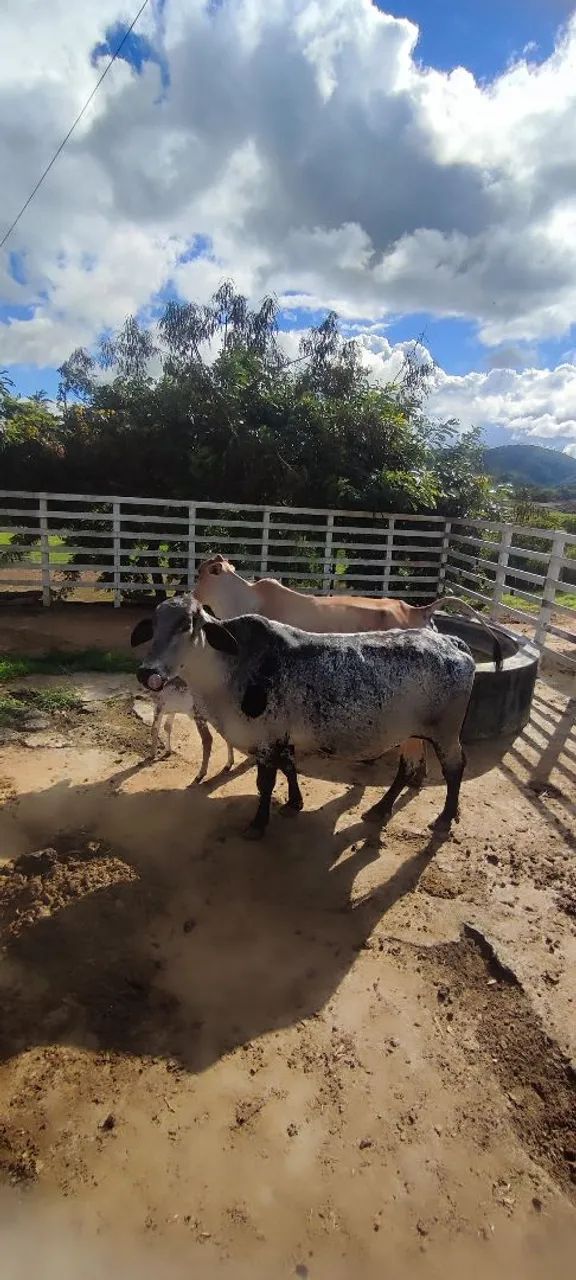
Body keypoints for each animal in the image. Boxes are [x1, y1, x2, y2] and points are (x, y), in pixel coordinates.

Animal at [133, 596, 486, 838]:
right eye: (154, 625)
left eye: (186, 625)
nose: (147, 672)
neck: (229, 670)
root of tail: (450, 642)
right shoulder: (282, 737)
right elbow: (290, 768)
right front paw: (293, 803)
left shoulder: (266, 740)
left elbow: (265, 783)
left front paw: (258, 824)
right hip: (411, 734)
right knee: (407, 769)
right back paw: (379, 809)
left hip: (444, 733)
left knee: (454, 768)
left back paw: (443, 819)